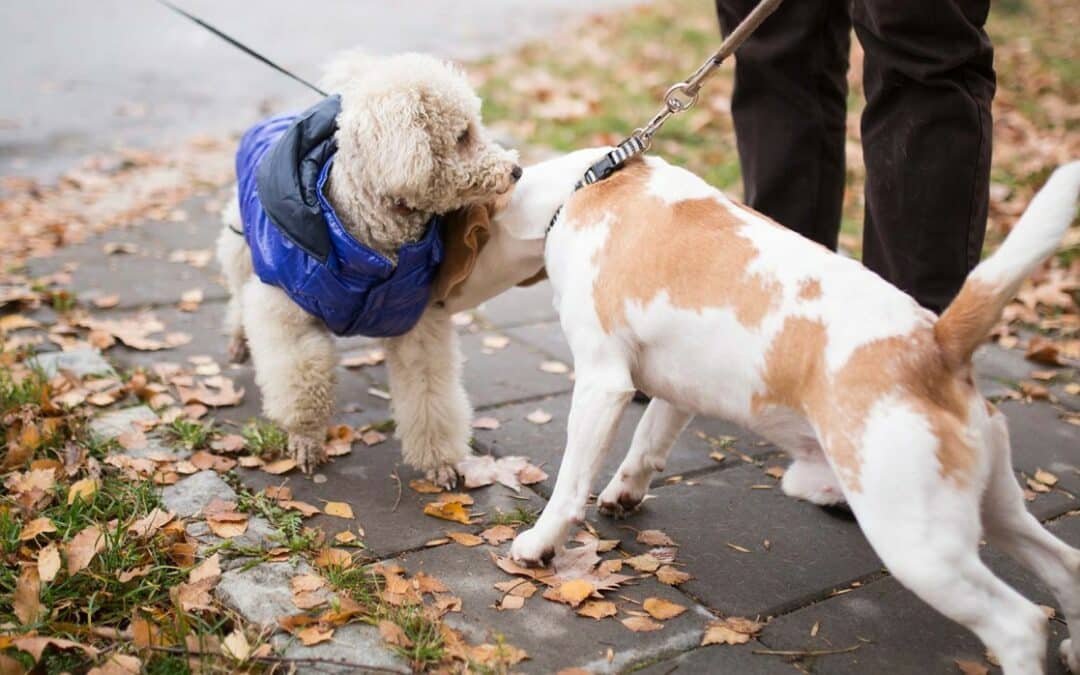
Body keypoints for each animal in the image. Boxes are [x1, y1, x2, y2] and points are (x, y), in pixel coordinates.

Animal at [494, 151, 1080, 673]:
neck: (589, 183)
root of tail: (934, 342)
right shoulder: (678, 389)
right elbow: (648, 441)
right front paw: (623, 494)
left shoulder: (601, 381)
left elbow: (571, 485)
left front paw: (540, 545)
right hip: (995, 511)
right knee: (1066, 567)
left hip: (920, 546)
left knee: (1020, 626)